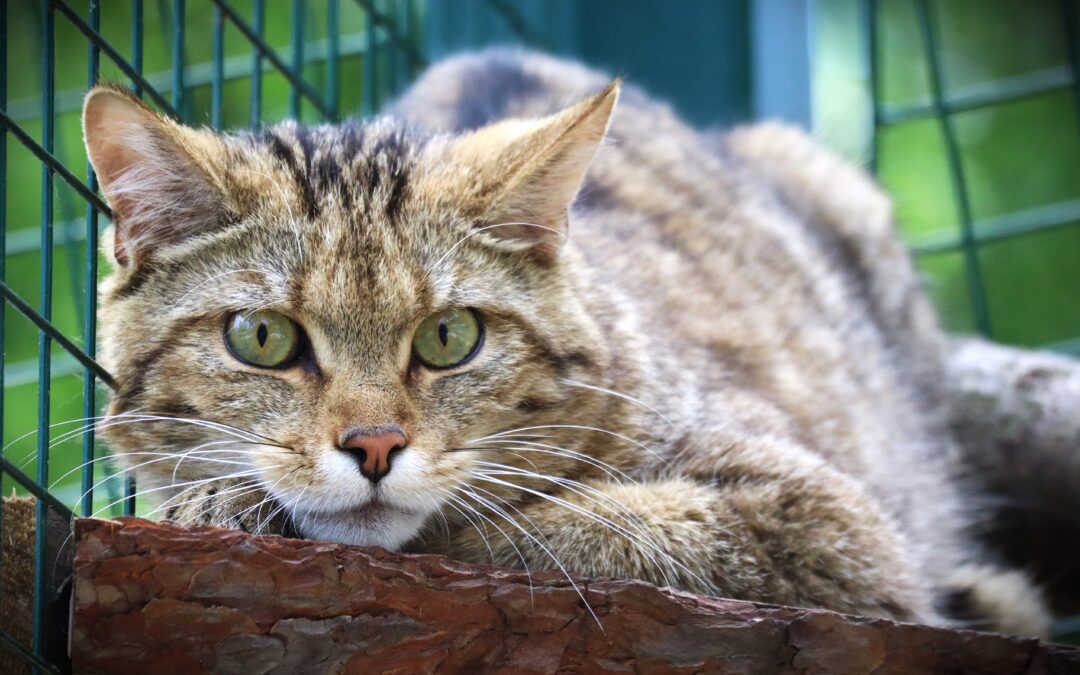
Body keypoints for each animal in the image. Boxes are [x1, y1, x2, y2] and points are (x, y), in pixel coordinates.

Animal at [82, 49, 1045, 635]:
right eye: (264, 337)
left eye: (450, 336)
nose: (376, 445)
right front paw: (215, 502)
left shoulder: (828, 519)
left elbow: (559, 529)